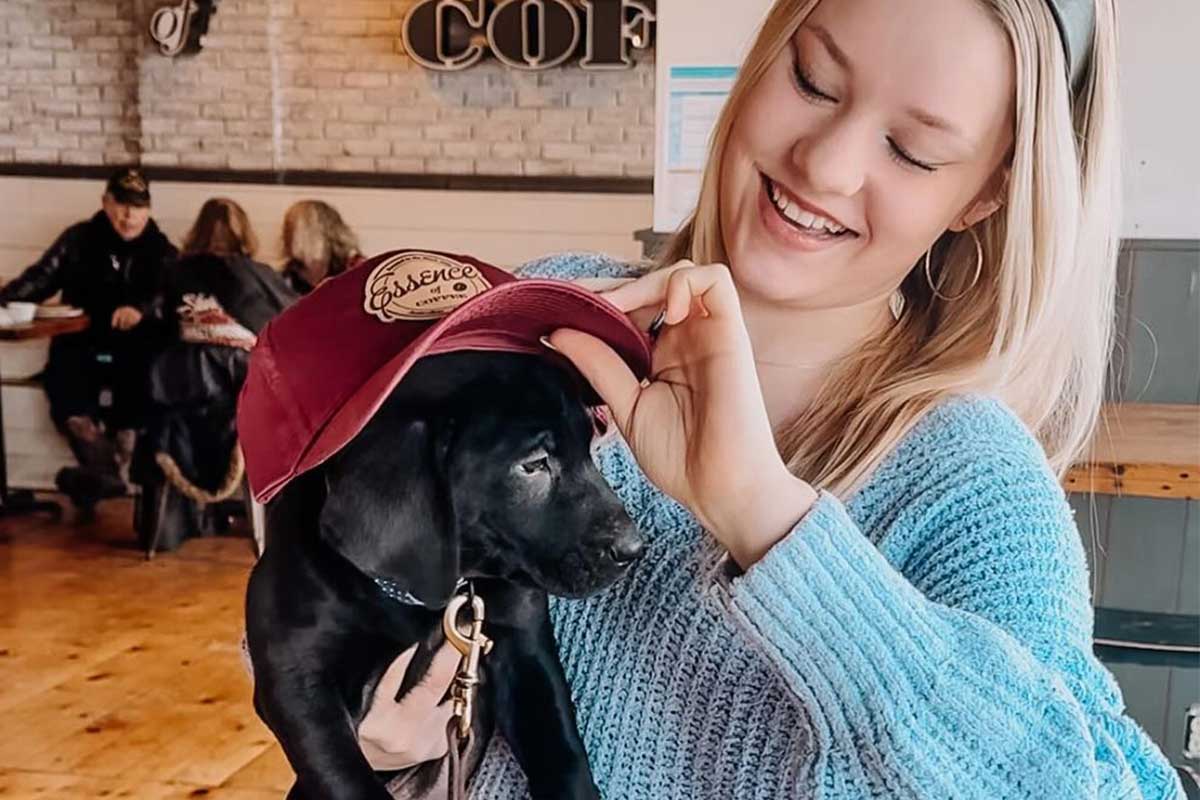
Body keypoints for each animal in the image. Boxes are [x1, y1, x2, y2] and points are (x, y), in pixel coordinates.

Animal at [242, 352, 648, 800]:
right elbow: (345, 777)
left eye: (591, 442)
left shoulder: (525, 652)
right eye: (534, 465)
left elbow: (561, 753)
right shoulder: (296, 676)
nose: (635, 548)